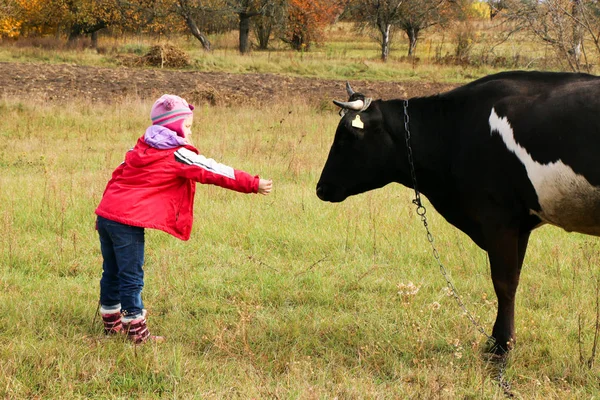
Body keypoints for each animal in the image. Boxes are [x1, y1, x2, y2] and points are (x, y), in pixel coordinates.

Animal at [316, 70, 596, 354]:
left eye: (347, 135)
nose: (321, 188)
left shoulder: (499, 218)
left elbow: (504, 283)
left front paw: (500, 347)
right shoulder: (520, 224)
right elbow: (514, 278)